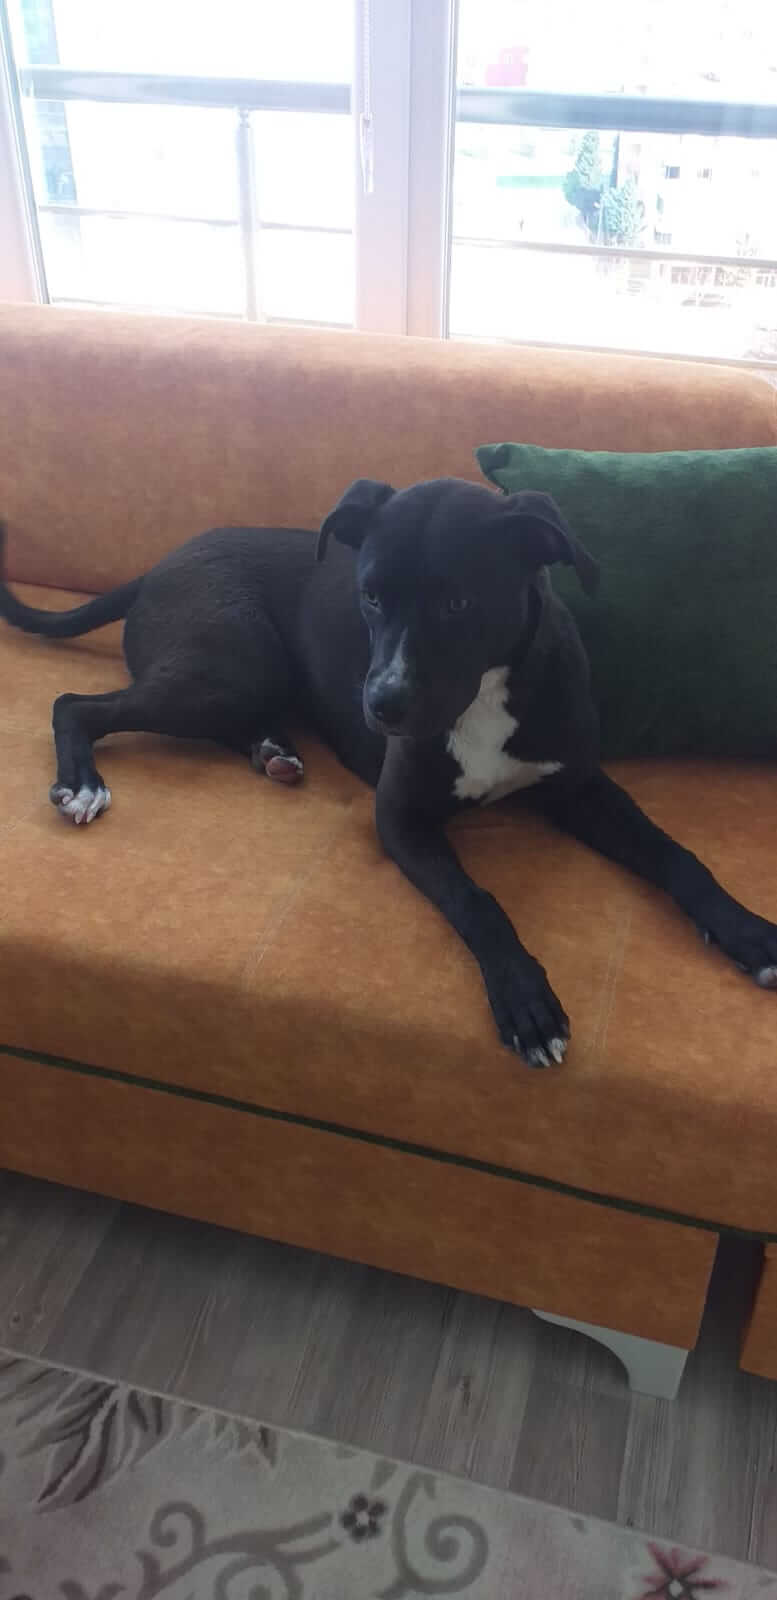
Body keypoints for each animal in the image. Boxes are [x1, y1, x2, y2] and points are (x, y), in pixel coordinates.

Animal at [2, 477, 776, 1067]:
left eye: (458, 602)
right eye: (369, 596)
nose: (381, 706)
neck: (485, 694)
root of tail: (159, 564)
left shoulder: (580, 786)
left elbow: (677, 857)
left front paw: (746, 932)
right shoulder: (400, 817)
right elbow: (477, 901)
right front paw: (525, 999)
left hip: (242, 680)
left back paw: (273, 752)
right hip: (230, 667)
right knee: (75, 703)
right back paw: (84, 783)